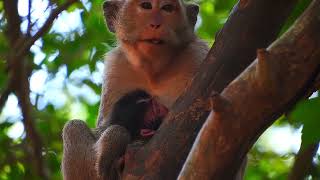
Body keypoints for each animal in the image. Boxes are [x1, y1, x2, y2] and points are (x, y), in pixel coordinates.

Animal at [61, 0, 209, 179]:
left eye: (167, 8)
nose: (155, 24)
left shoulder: (198, 54)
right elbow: (106, 125)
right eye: (146, 6)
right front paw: (116, 137)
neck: (154, 72)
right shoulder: (116, 66)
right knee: (73, 127)